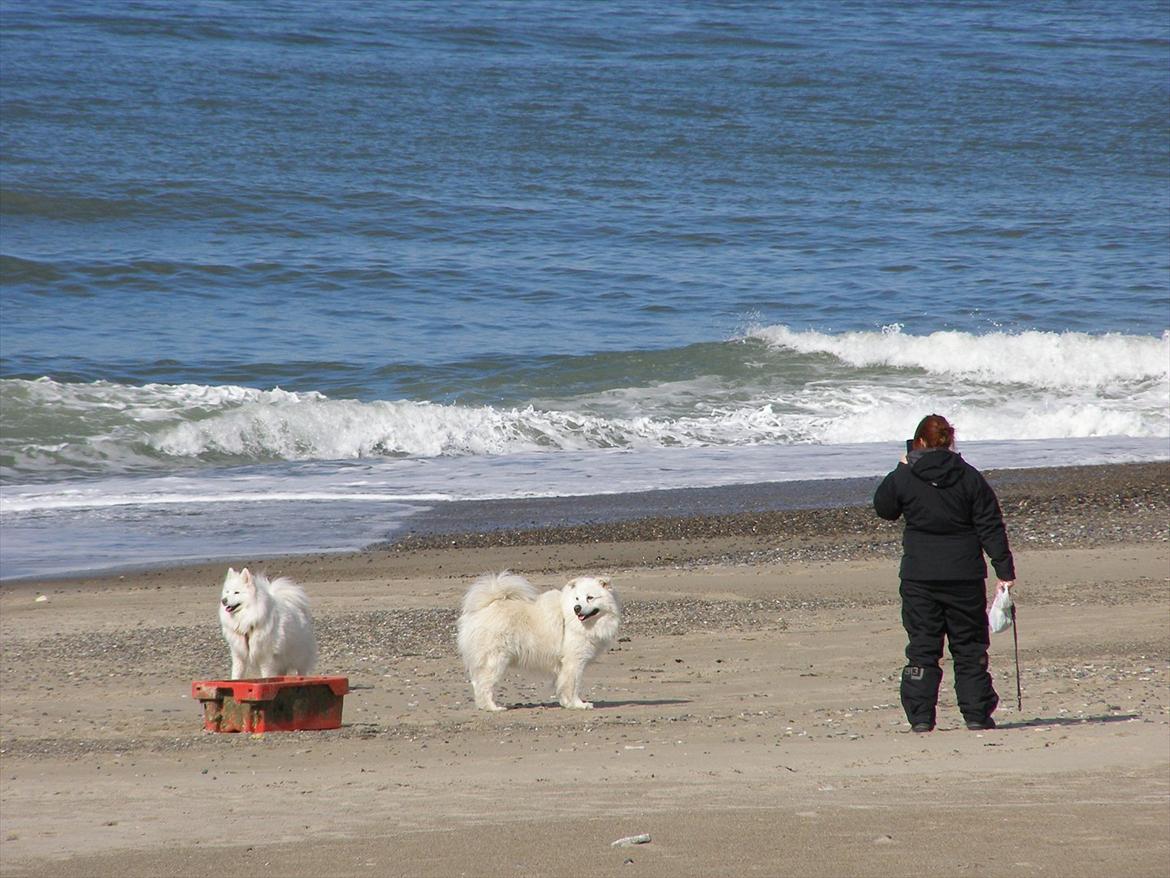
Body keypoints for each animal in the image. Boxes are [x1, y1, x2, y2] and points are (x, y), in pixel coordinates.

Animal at [453, 573, 622, 711]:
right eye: (577, 599)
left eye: (590, 597)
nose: (577, 608)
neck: (572, 619)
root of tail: (484, 607)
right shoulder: (574, 662)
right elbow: (572, 685)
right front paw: (578, 704)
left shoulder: (565, 665)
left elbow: (562, 684)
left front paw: (566, 703)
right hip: (495, 660)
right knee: (484, 686)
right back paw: (493, 707)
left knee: (477, 683)